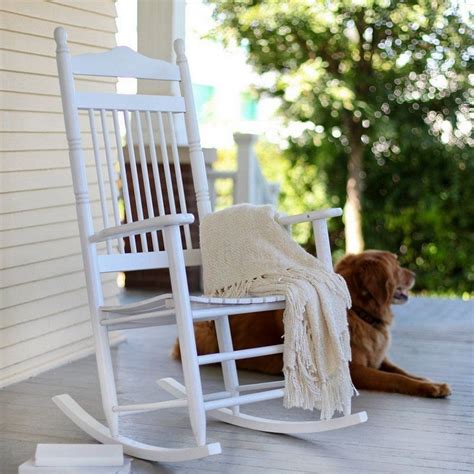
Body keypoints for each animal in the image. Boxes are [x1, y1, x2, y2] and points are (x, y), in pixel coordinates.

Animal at [173, 250, 452, 398]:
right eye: (397, 264)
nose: (415, 273)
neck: (361, 313)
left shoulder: (378, 358)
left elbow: (404, 372)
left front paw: (432, 382)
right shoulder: (355, 370)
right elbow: (396, 379)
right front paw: (428, 388)